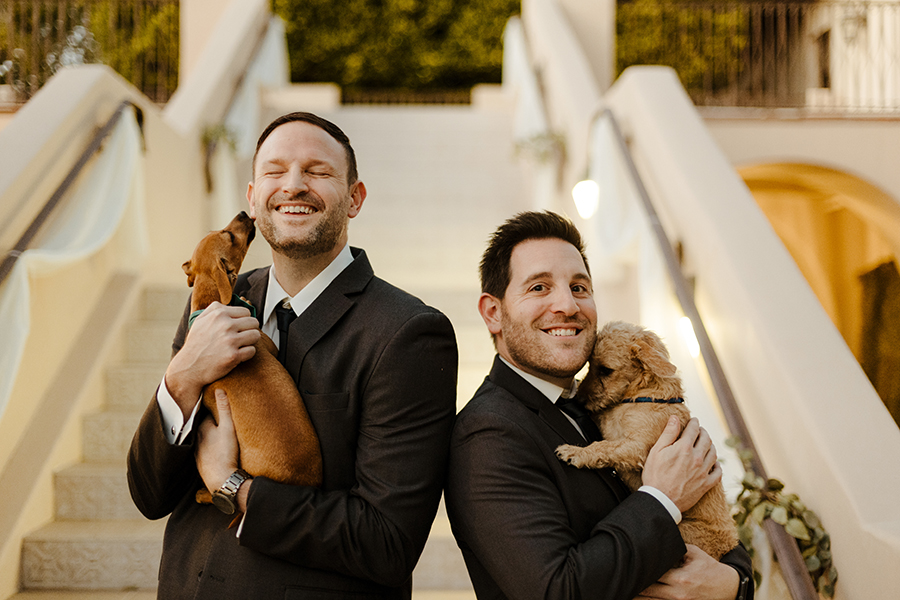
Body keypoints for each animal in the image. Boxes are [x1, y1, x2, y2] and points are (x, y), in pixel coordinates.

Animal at [555, 321, 737, 560]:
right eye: (589, 365)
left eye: (605, 370)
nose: (578, 400)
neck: (643, 395)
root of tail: (731, 542)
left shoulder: (637, 447)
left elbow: (604, 446)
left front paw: (575, 452)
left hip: (685, 532)